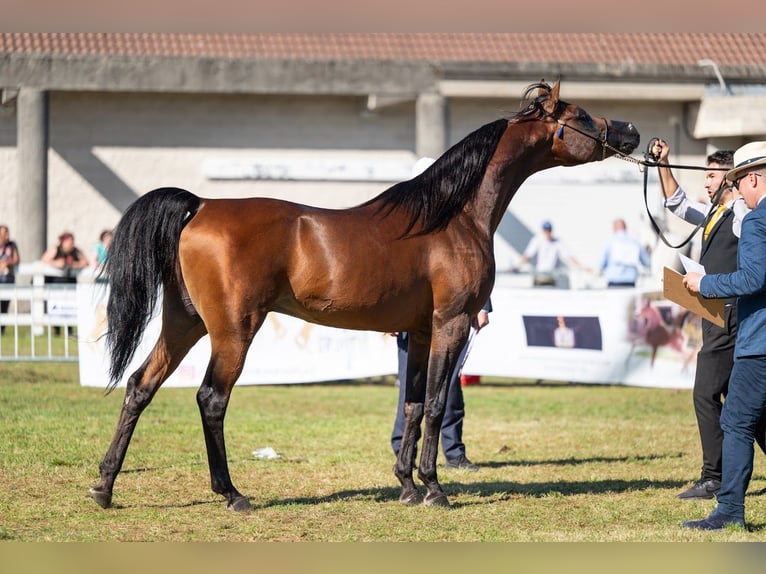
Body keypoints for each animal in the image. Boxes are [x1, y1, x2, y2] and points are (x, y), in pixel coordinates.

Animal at [90, 80, 640, 512]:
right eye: (581, 115)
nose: (631, 131)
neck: (452, 217)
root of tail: (201, 204)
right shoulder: (452, 323)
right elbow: (436, 403)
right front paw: (434, 489)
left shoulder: (419, 333)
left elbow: (413, 405)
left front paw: (407, 487)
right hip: (232, 331)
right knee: (210, 398)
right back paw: (232, 494)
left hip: (184, 323)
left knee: (140, 386)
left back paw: (104, 487)